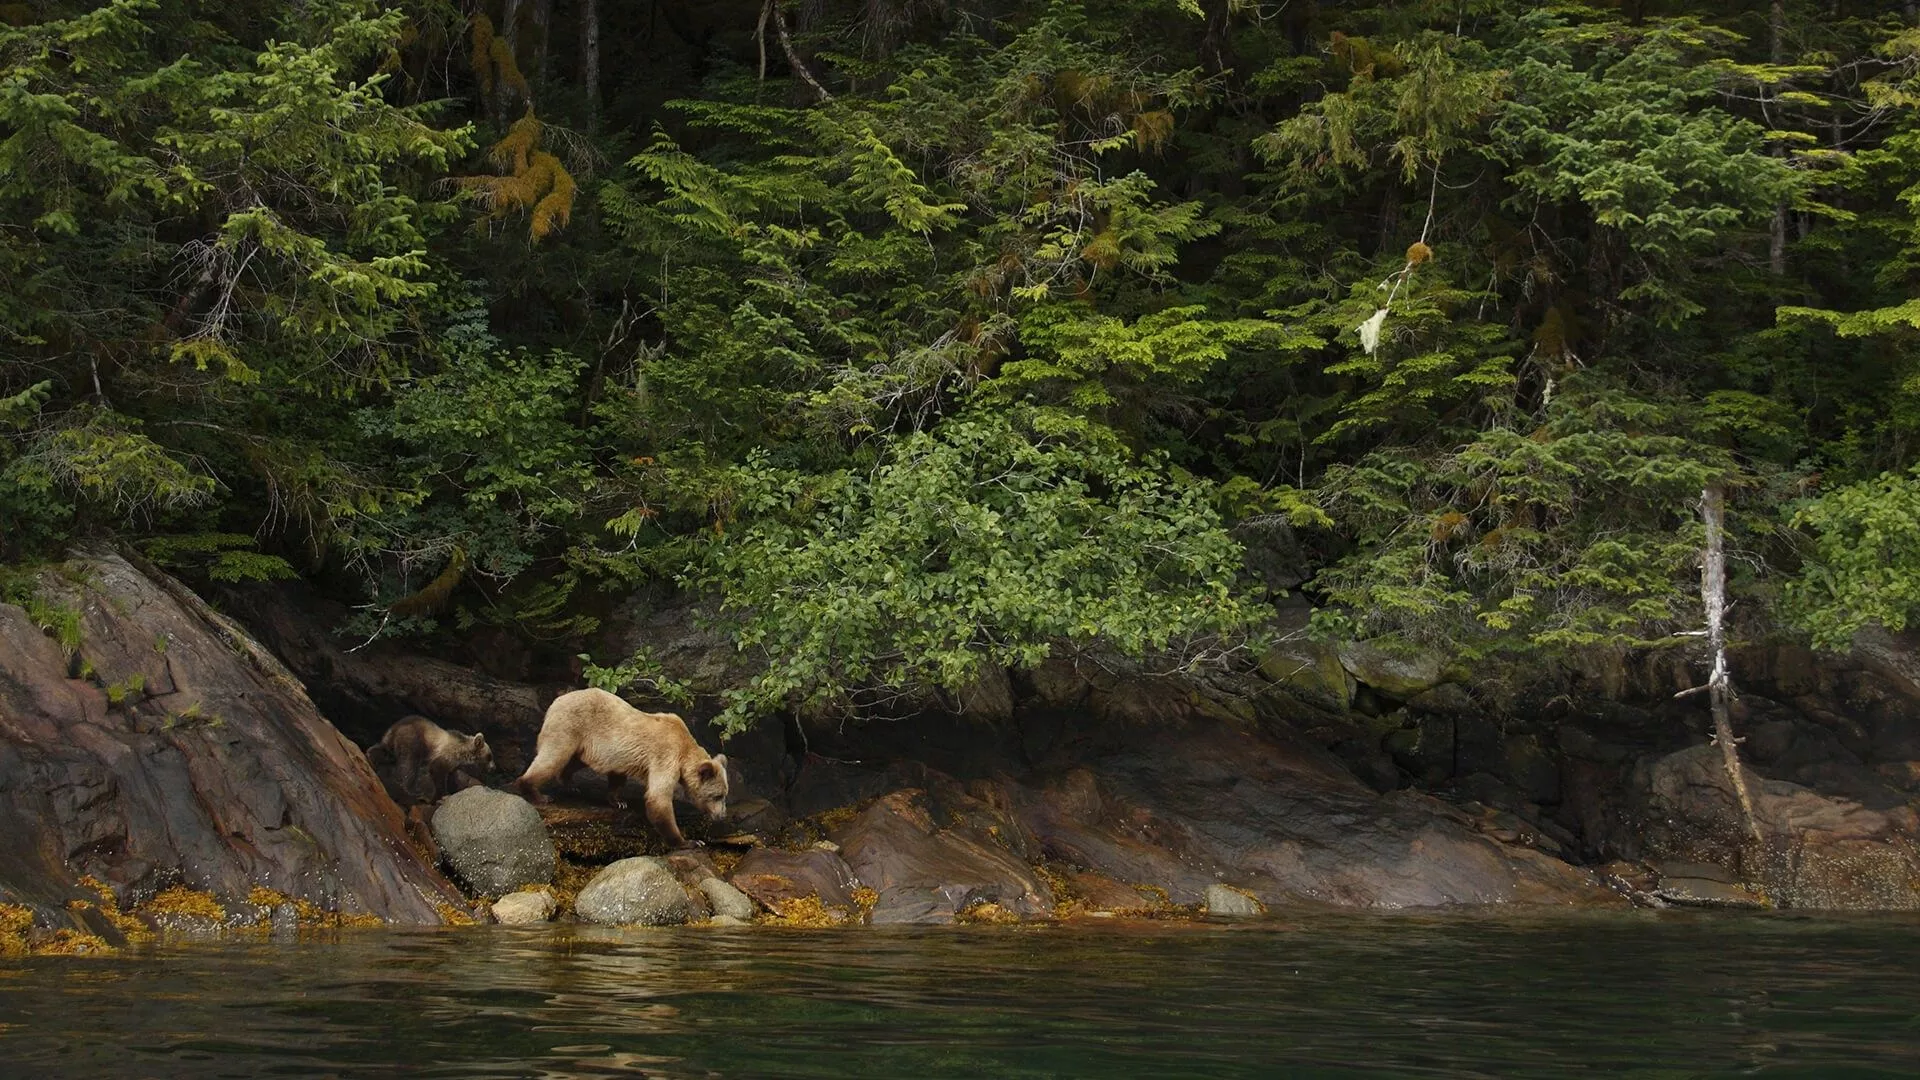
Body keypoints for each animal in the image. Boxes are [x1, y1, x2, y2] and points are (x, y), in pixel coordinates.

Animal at [512, 688, 729, 848]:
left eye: (724, 794)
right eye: (717, 795)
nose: (721, 815)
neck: (685, 750)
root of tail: (555, 702)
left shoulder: (623, 757)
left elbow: (618, 776)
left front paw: (618, 801)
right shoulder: (665, 755)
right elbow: (658, 799)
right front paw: (690, 841)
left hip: (584, 741)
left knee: (572, 761)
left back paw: (570, 784)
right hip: (569, 725)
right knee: (552, 757)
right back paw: (537, 793)